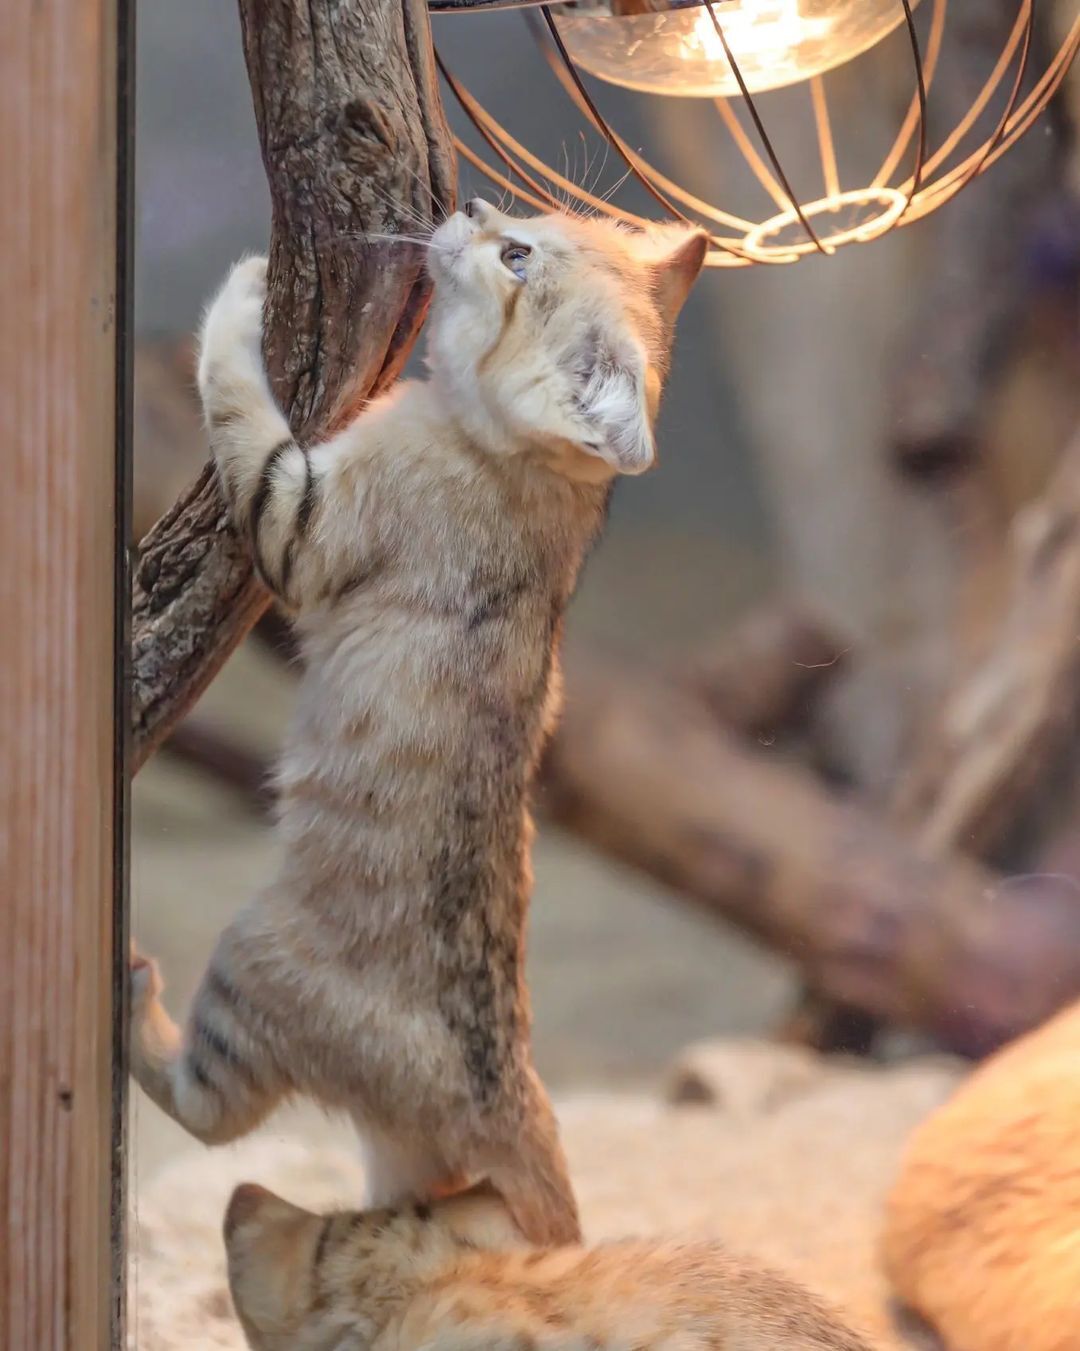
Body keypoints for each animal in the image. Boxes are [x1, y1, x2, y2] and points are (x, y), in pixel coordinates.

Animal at [129, 197, 708, 1242]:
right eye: (528, 223)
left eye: (516, 256)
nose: (474, 204)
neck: (522, 467)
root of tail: (508, 1095)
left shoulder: (301, 519)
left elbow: (239, 401)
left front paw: (240, 290)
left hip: (249, 965)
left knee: (204, 1110)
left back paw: (129, 985)